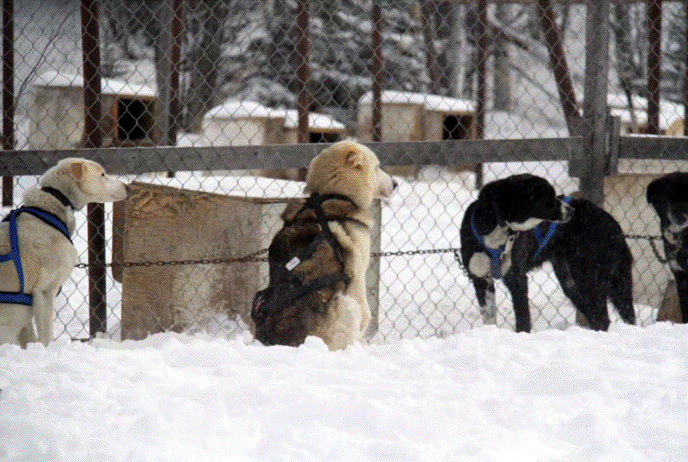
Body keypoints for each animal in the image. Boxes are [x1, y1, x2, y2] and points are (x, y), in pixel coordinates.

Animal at [460, 174, 636, 332]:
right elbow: (489, 318)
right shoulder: (481, 279)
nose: (571, 211)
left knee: (604, 318)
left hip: (591, 278)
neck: (496, 229)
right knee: (598, 317)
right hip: (571, 283)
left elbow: (523, 319)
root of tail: (614, 225)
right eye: (548, 195)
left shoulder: (516, 278)